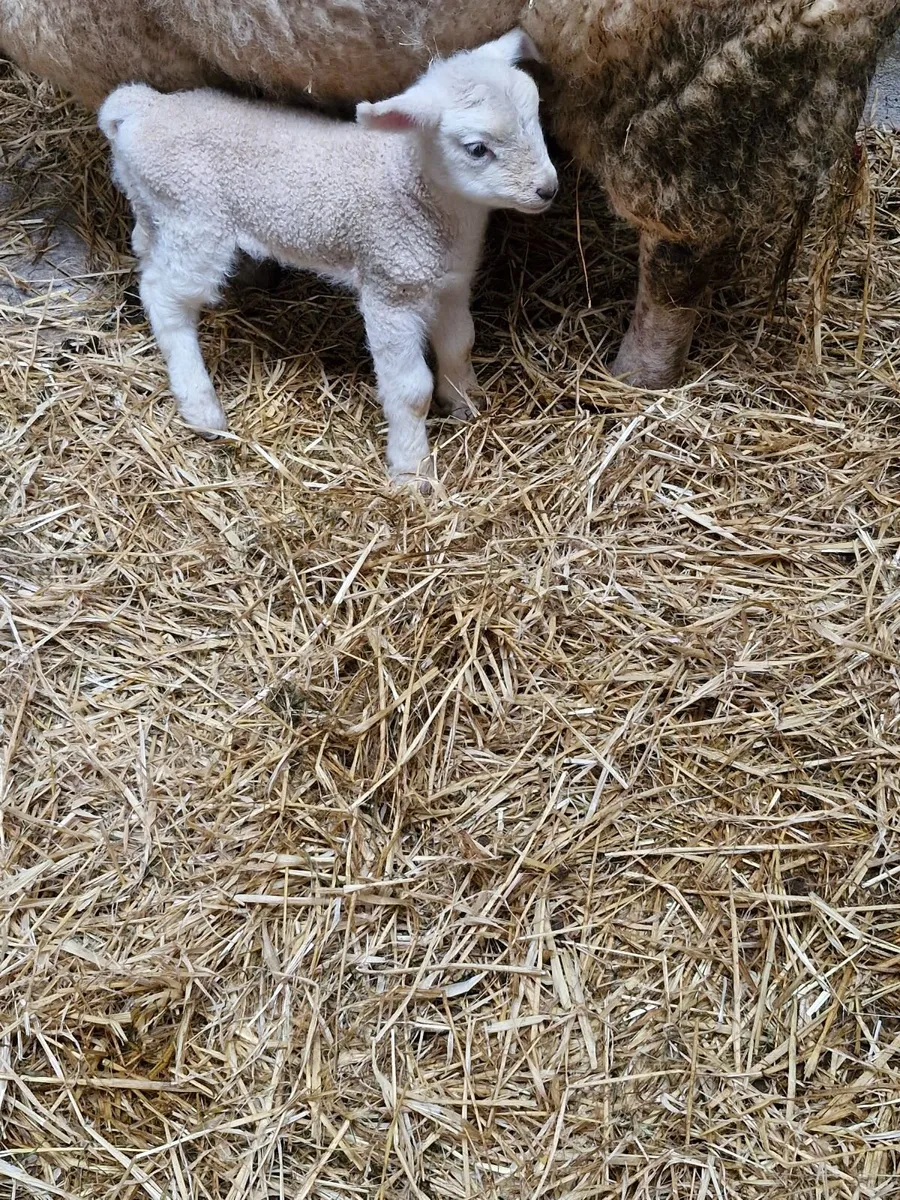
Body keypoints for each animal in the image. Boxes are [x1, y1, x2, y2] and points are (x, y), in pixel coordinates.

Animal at [96, 31, 557, 485]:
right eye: (477, 149)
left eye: (535, 117)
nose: (548, 189)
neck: (410, 184)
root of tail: (142, 108)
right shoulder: (390, 286)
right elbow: (410, 390)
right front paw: (412, 471)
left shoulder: (450, 283)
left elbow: (460, 344)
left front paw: (465, 402)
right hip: (196, 221)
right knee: (164, 298)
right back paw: (202, 407)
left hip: (159, 208)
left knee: (145, 248)